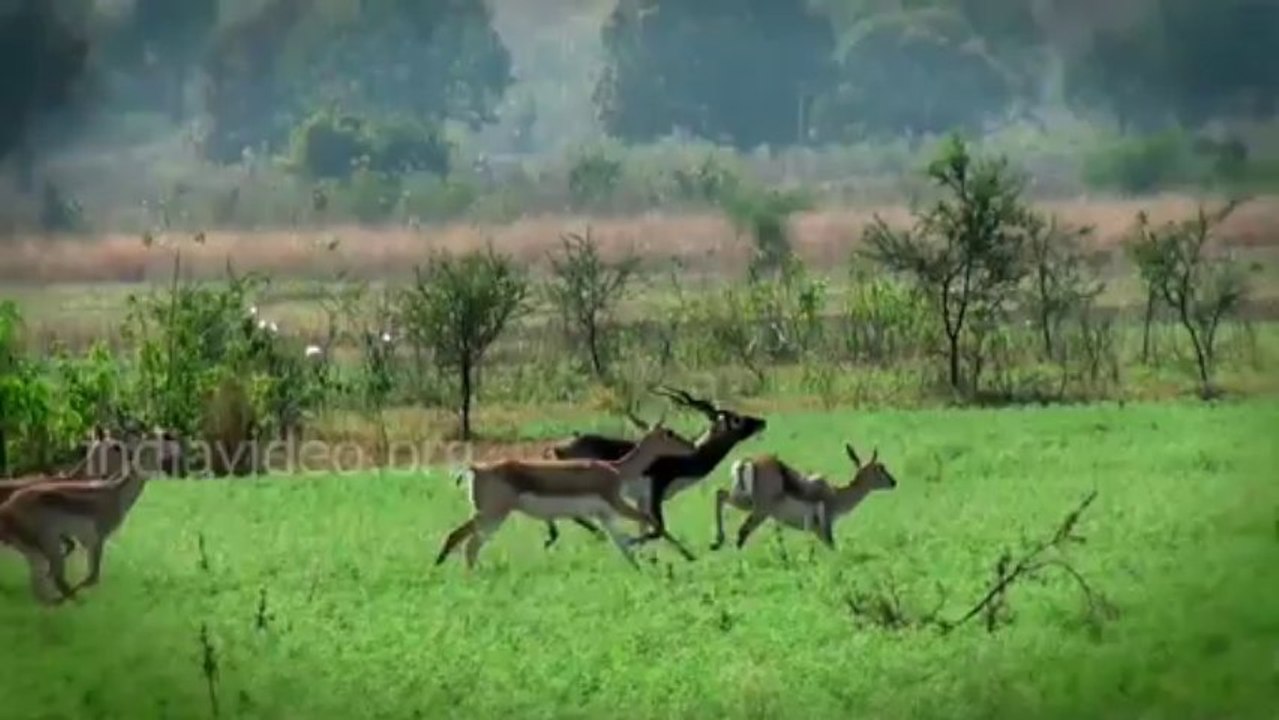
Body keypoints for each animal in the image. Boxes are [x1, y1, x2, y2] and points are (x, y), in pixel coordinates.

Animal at [0, 426, 182, 605]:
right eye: (164, 436)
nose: (174, 436)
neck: (116, 493)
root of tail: (7, 509)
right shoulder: (97, 538)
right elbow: (92, 577)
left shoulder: (84, 541)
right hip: (46, 543)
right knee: (54, 579)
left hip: (35, 550)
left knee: (42, 585)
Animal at [435, 423, 697, 570]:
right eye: (670, 433)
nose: (692, 445)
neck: (617, 470)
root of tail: (476, 469)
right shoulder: (617, 505)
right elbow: (653, 522)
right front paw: (690, 555)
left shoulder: (604, 515)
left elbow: (622, 544)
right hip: (493, 515)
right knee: (469, 544)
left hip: (487, 515)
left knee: (456, 537)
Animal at [542, 385, 766, 560]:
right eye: (736, 419)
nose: (761, 422)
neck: (685, 459)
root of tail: (556, 448)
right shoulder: (655, 492)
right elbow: (658, 528)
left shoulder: (642, 499)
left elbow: (649, 526)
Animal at [711, 442, 897, 551]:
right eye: (880, 468)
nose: (894, 482)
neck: (835, 494)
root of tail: (747, 461)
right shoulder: (823, 526)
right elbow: (832, 546)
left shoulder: (813, 529)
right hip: (760, 511)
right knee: (743, 530)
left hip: (744, 501)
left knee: (720, 493)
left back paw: (717, 542)